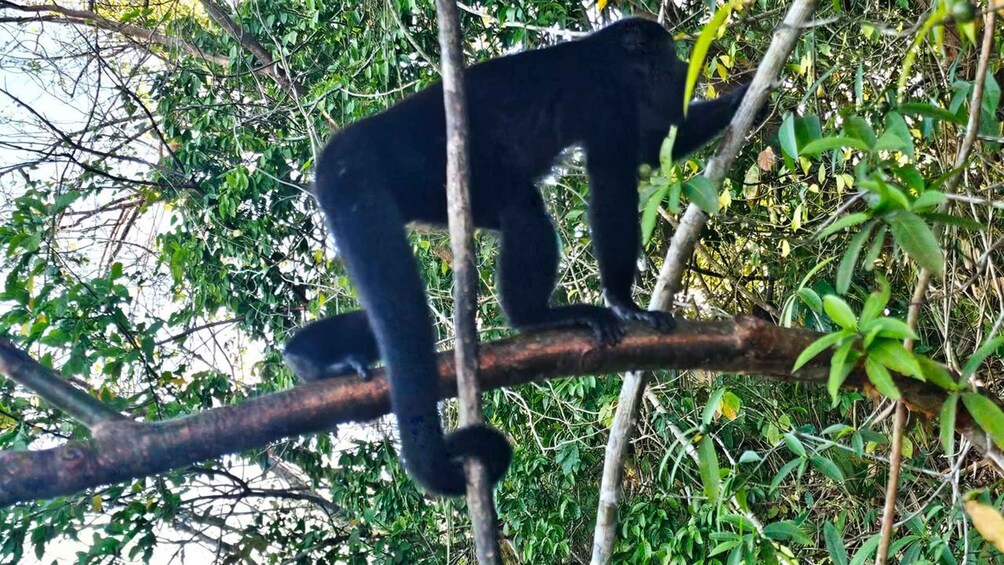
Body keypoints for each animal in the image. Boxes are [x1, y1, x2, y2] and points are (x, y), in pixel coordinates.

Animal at [284, 17, 756, 496]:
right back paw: (534, 317)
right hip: (416, 168)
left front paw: (749, 92)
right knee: (520, 209)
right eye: (667, 57)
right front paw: (624, 302)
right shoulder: (604, 96)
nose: (682, 69)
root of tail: (348, 147)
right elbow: (614, 177)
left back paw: (308, 359)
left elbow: (650, 147)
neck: (606, 57)